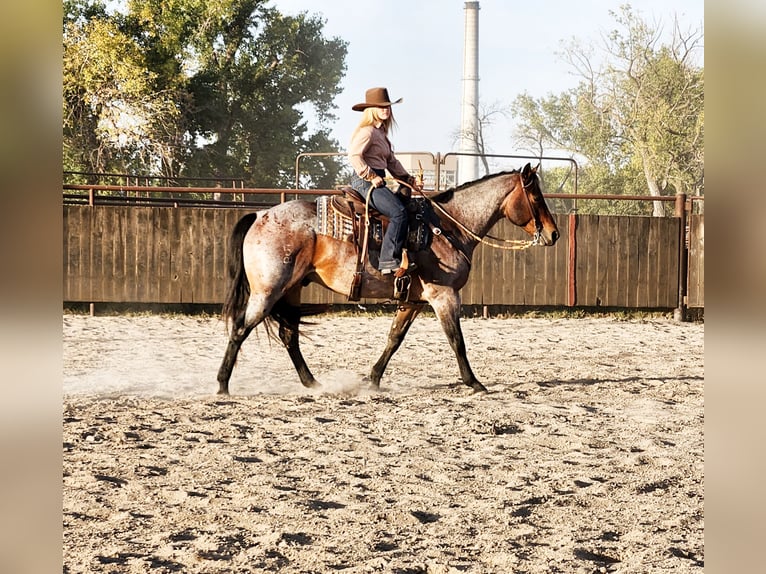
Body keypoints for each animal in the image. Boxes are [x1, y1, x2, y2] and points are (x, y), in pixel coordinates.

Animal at [219, 162, 560, 396]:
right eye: (536, 198)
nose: (554, 234)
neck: (449, 227)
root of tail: (260, 215)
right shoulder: (444, 295)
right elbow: (457, 340)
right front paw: (474, 382)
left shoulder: (413, 300)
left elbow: (394, 339)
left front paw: (372, 379)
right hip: (267, 291)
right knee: (240, 329)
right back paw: (222, 385)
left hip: (290, 290)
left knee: (289, 335)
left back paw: (312, 383)